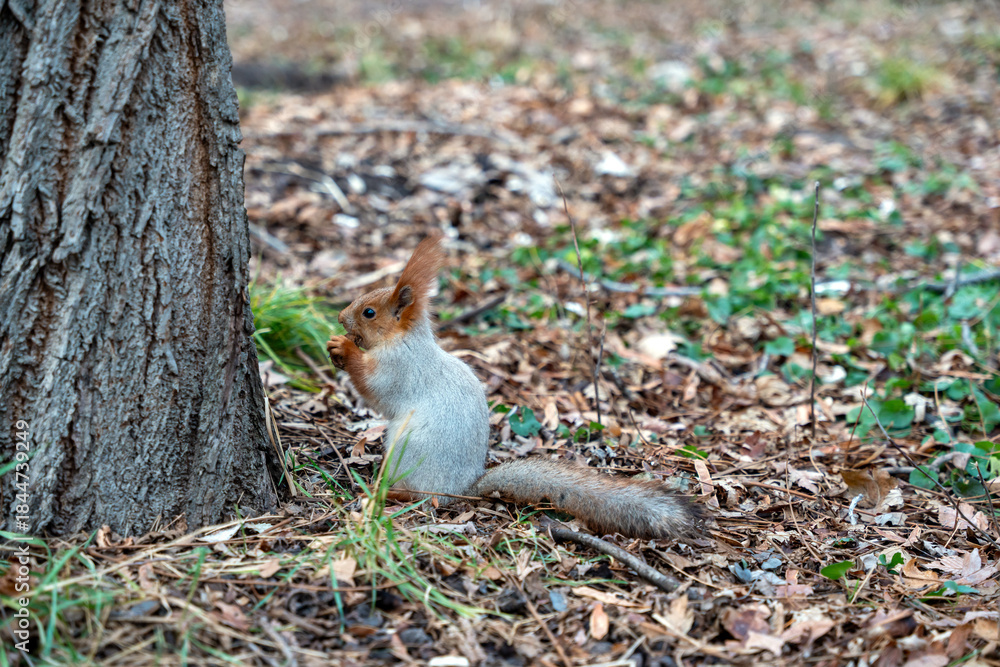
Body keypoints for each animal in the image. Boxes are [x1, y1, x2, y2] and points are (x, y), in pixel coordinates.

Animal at [326, 235, 701, 540]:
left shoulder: (399, 367)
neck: (403, 339)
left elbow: (375, 389)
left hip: (408, 452)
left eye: (369, 312)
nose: (341, 317)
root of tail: (464, 488)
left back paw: (383, 492)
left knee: (424, 499)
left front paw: (343, 348)